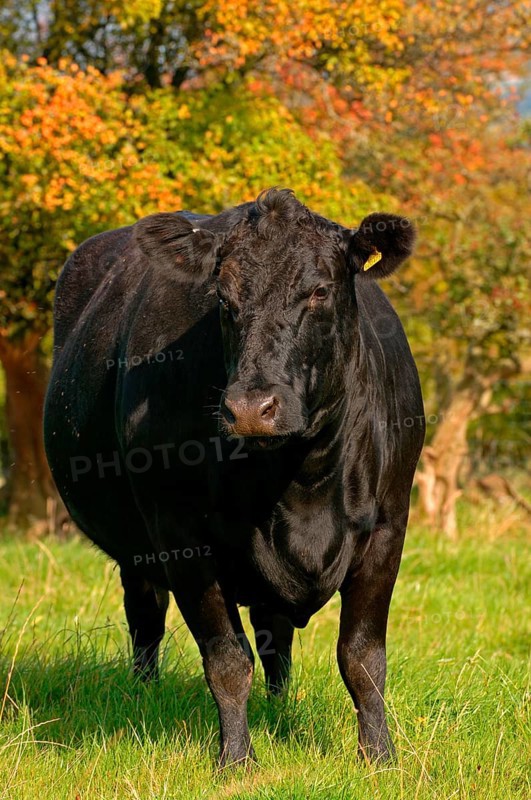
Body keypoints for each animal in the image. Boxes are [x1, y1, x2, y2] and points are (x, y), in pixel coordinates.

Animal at [44, 188, 424, 767]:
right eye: (223, 300)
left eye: (319, 290)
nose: (250, 408)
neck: (301, 481)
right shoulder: (180, 535)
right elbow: (226, 659)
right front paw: (237, 760)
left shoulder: (387, 526)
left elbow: (362, 658)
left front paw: (379, 756)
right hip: (136, 551)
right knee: (146, 617)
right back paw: (144, 694)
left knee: (274, 635)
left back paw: (278, 706)